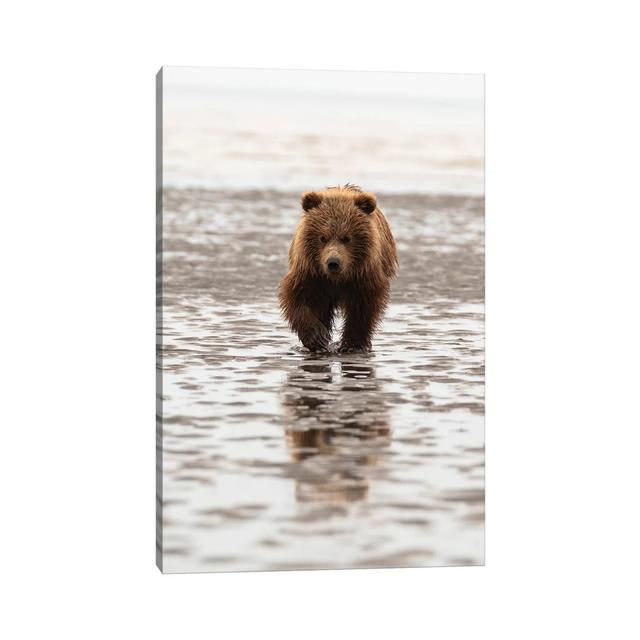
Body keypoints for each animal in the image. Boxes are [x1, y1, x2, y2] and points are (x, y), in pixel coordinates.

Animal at [278, 185, 398, 352]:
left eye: (347, 238)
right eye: (323, 237)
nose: (333, 262)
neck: (337, 279)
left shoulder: (363, 277)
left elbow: (362, 308)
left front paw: (352, 344)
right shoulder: (311, 274)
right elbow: (299, 298)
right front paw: (317, 337)